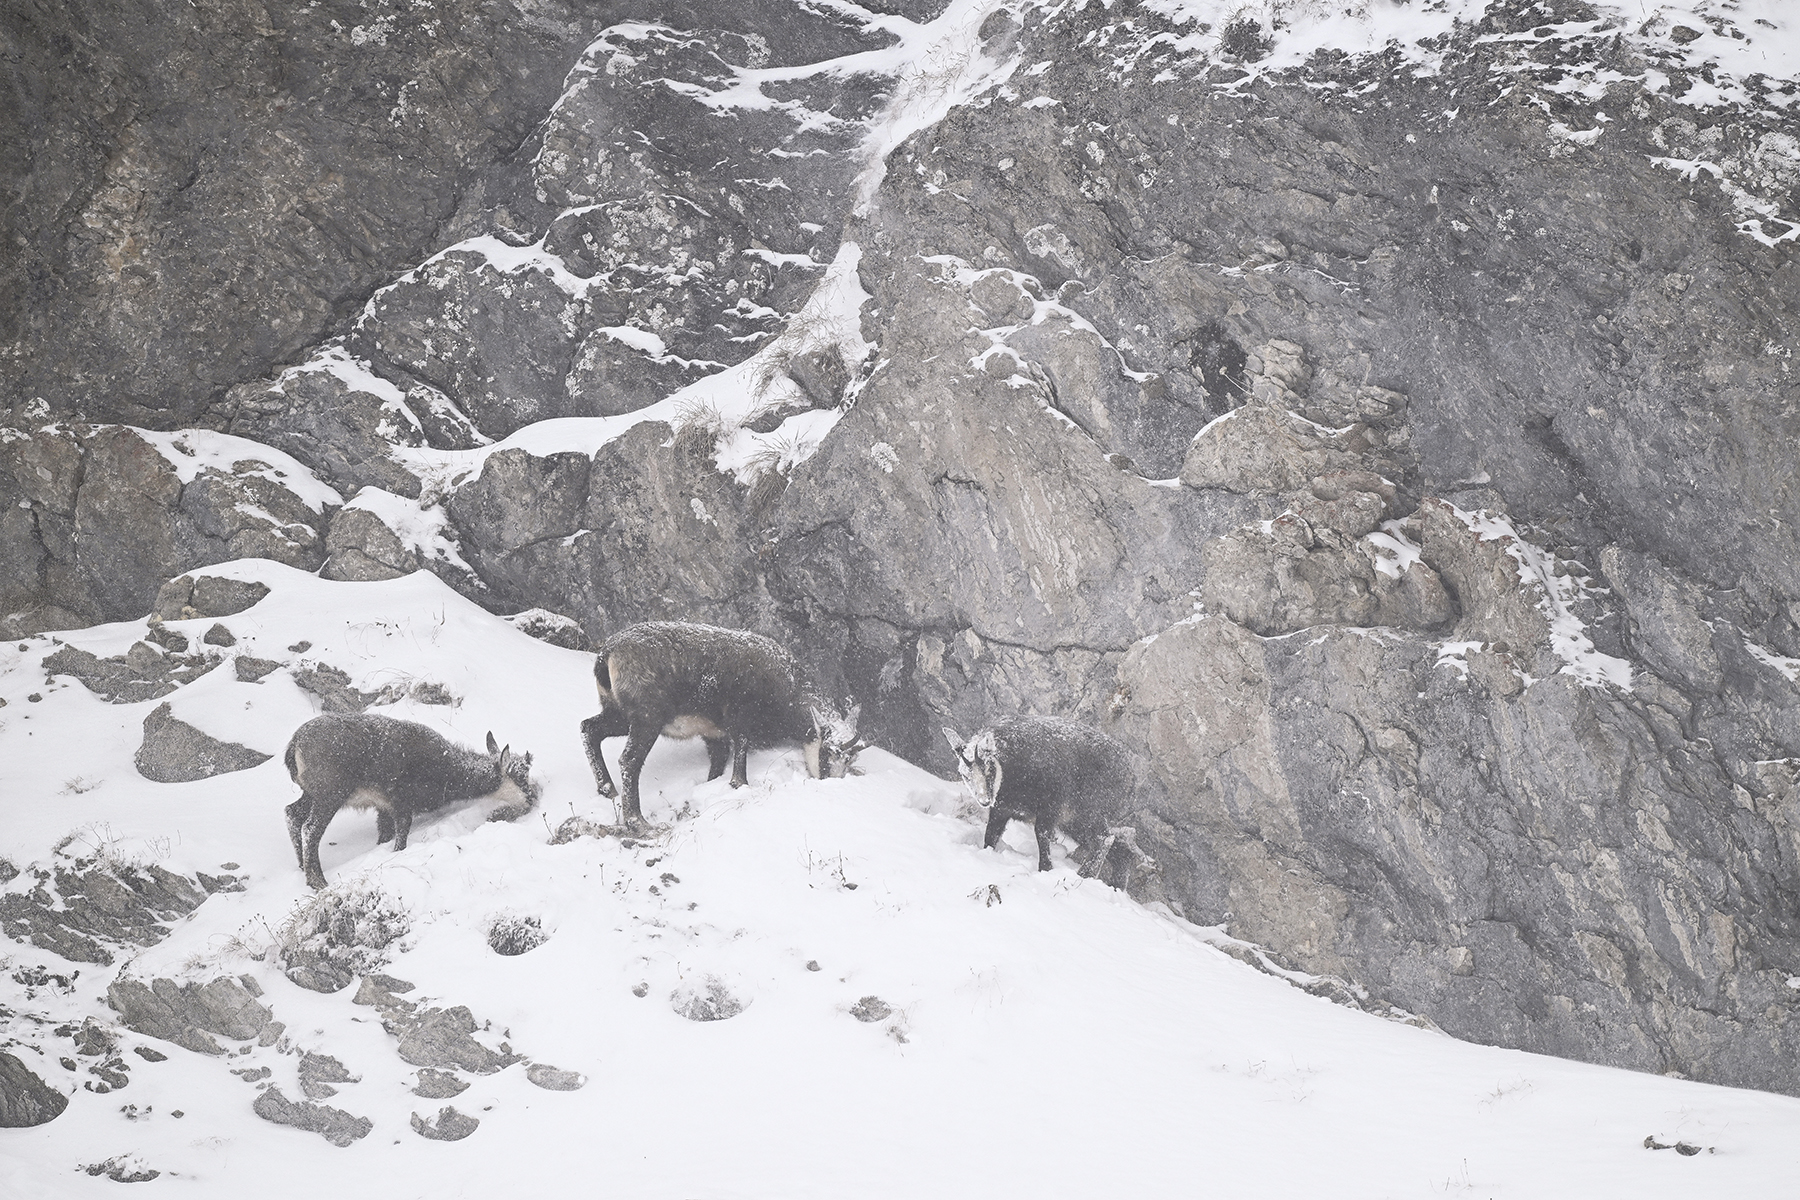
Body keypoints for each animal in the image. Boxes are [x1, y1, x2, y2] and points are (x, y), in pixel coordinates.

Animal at [283, 713, 536, 889]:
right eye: (521, 776)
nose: (532, 799)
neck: (446, 769)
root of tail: (294, 744)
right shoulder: (401, 803)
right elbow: (402, 834)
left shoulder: (383, 808)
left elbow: (384, 835)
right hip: (330, 794)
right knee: (311, 828)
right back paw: (317, 880)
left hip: (311, 794)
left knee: (291, 813)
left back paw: (301, 865)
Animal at [579, 621, 864, 829]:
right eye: (827, 754)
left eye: (848, 760)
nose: (831, 781)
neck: (786, 687)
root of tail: (607, 655)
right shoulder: (739, 717)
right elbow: (740, 752)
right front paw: (740, 784)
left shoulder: (713, 734)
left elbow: (717, 764)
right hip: (647, 717)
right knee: (629, 760)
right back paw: (636, 820)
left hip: (619, 715)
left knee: (588, 728)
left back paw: (607, 789)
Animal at [942, 715, 1156, 886]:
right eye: (965, 775)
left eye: (988, 769)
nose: (984, 801)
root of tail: (1130, 776)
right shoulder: (1002, 810)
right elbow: (991, 836)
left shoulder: (1051, 806)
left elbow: (1042, 834)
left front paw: (1045, 868)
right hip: (1074, 821)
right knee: (1118, 845)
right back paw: (1115, 884)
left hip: (1088, 809)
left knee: (1105, 838)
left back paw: (1083, 875)